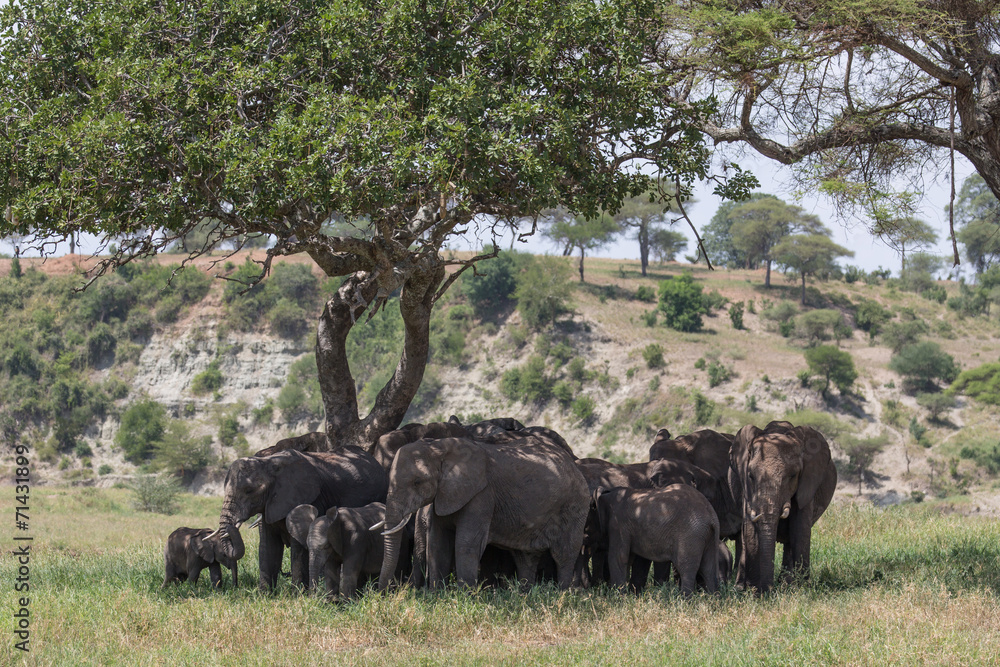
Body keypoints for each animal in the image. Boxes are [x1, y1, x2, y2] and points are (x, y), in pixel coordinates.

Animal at [215, 446, 388, 591]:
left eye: (249, 491)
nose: (231, 526)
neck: (269, 462)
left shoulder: (311, 497)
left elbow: (297, 546)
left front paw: (297, 595)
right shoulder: (269, 504)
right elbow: (268, 545)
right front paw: (264, 595)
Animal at [378, 435, 589, 591]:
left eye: (417, 482)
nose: (384, 593)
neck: (439, 447)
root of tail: (573, 464)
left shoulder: (482, 494)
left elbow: (466, 544)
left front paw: (464, 598)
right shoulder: (445, 494)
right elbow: (438, 543)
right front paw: (436, 596)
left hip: (574, 507)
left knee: (564, 554)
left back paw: (561, 594)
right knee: (526, 557)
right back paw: (524, 594)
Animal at [729, 420, 837, 593]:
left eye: (792, 476)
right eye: (751, 476)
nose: (768, 590)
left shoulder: (807, 484)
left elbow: (800, 529)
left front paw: (802, 589)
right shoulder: (747, 489)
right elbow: (751, 530)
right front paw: (752, 591)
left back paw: (786, 585)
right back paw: (740, 587)